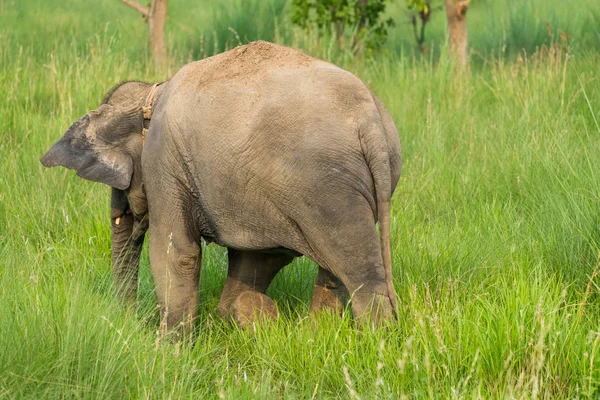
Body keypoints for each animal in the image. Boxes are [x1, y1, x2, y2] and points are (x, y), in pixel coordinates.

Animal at [41, 40, 404, 334]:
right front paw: (245, 317)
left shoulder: (164, 161)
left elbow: (176, 252)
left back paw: (376, 341)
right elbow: (262, 256)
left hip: (327, 187)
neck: (151, 93)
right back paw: (316, 334)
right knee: (334, 268)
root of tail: (369, 118)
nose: (127, 321)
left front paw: (169, 349)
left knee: (358, 270)